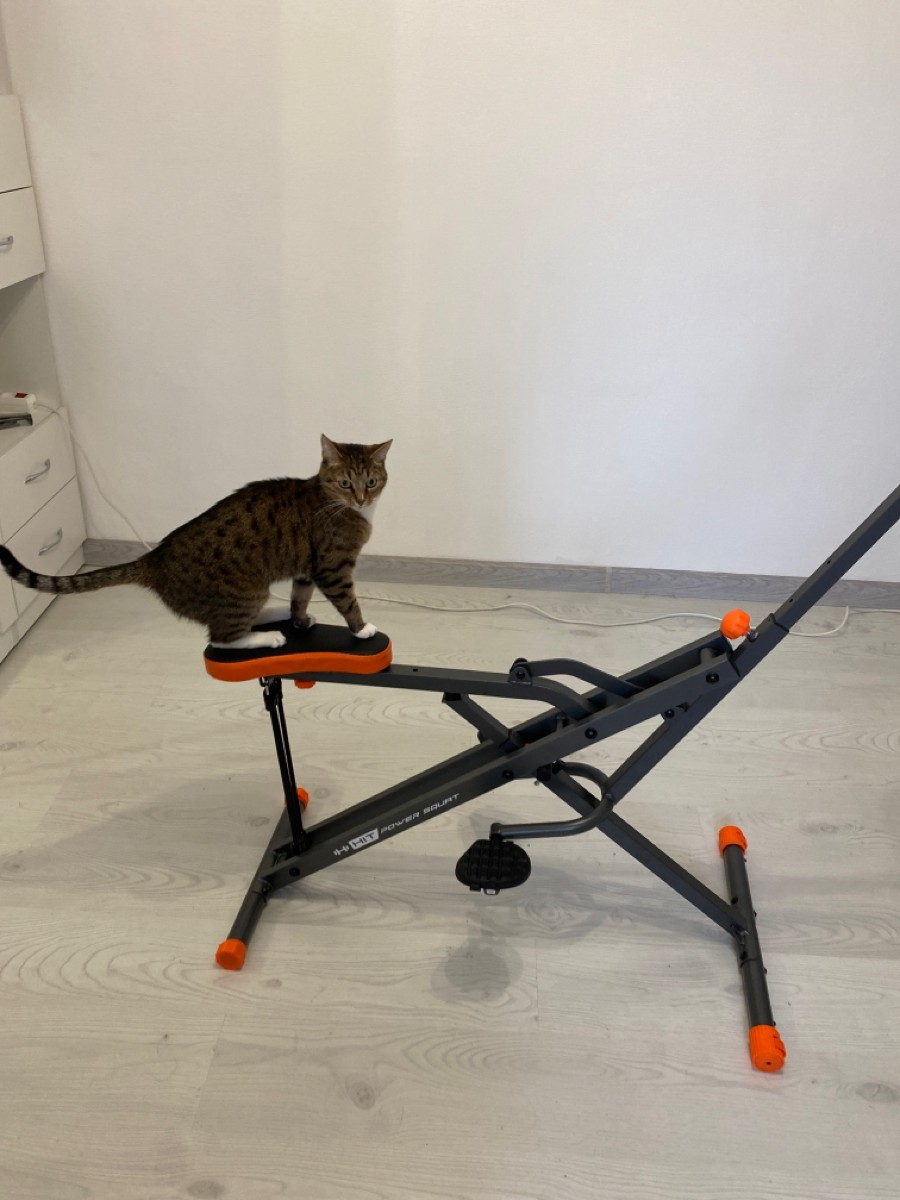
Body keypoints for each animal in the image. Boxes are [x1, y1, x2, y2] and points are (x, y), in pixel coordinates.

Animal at [0, 434, 391, 651]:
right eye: (346, 484)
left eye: (372, 482)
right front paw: (362, 628)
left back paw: (276, 616)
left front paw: (298, 618)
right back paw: (267, 637)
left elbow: (299, 597)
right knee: (221, 638)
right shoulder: (332, 567)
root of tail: (154, 560)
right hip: (244, 593)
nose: (361, 498)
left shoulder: (308, 570)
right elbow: (348, 601)